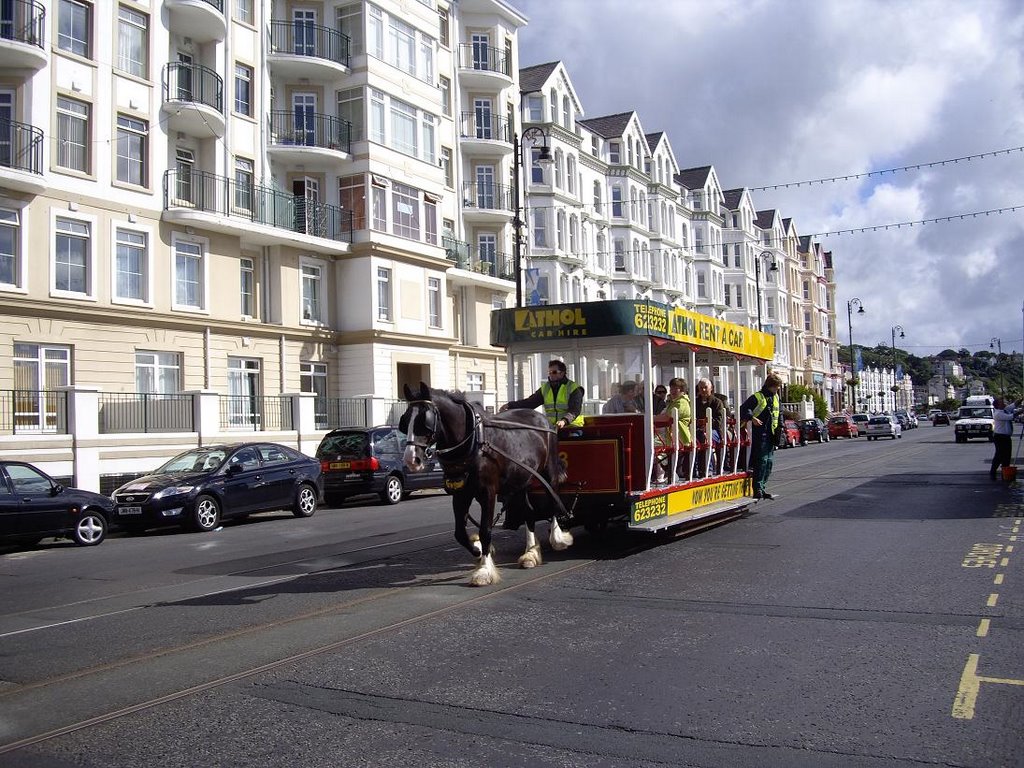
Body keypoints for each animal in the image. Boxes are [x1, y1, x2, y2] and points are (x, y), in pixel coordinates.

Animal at [399, 382, 577, 585]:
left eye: (425, 421)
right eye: (405, 421)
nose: (411, 459)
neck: (474, 441)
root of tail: (545, 420)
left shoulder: (488, 492)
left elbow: (485, 530)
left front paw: (484, 570)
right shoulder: (461, 493)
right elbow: (459, 533)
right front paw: (477, 550)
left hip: (547, 473)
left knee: (553, 500)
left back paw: (557, 538)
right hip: (521, 480)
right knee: (529, 512)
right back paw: (530, 554)